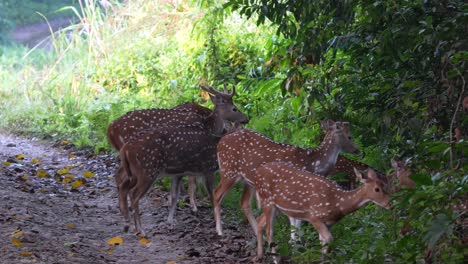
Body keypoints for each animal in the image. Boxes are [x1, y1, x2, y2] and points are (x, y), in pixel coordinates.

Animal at [114, 85, 249, 237]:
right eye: (234, 108)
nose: (246, 118)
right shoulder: (206, 169)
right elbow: (210, 193)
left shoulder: (179, 172)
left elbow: (175, 196)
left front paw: (170, 220)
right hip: (147, 170)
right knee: (133, 193)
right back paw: (140, 230)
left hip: (134, 170)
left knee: (122, 181)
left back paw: (128, 224)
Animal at [212, 119, 362, 235]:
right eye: (349, 136)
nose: (359, 151)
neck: (313, 164)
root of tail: (220, 143)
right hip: (228, 170)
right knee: (216, 193)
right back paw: (219, 231)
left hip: (247, 180)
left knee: (244, 203)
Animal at [254, 163, 390, 260]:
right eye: (377, 189)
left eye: (385, 185)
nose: (389, 204)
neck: (338, 203)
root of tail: (257, 172)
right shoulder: (314, 216)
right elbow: (329, 239)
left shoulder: (329, 223)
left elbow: (323, 241)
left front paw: (324, 258)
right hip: (267, 200)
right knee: (269, 230)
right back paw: (275, 259)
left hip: (278, 207)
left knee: (259, 221)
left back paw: (259, 255)